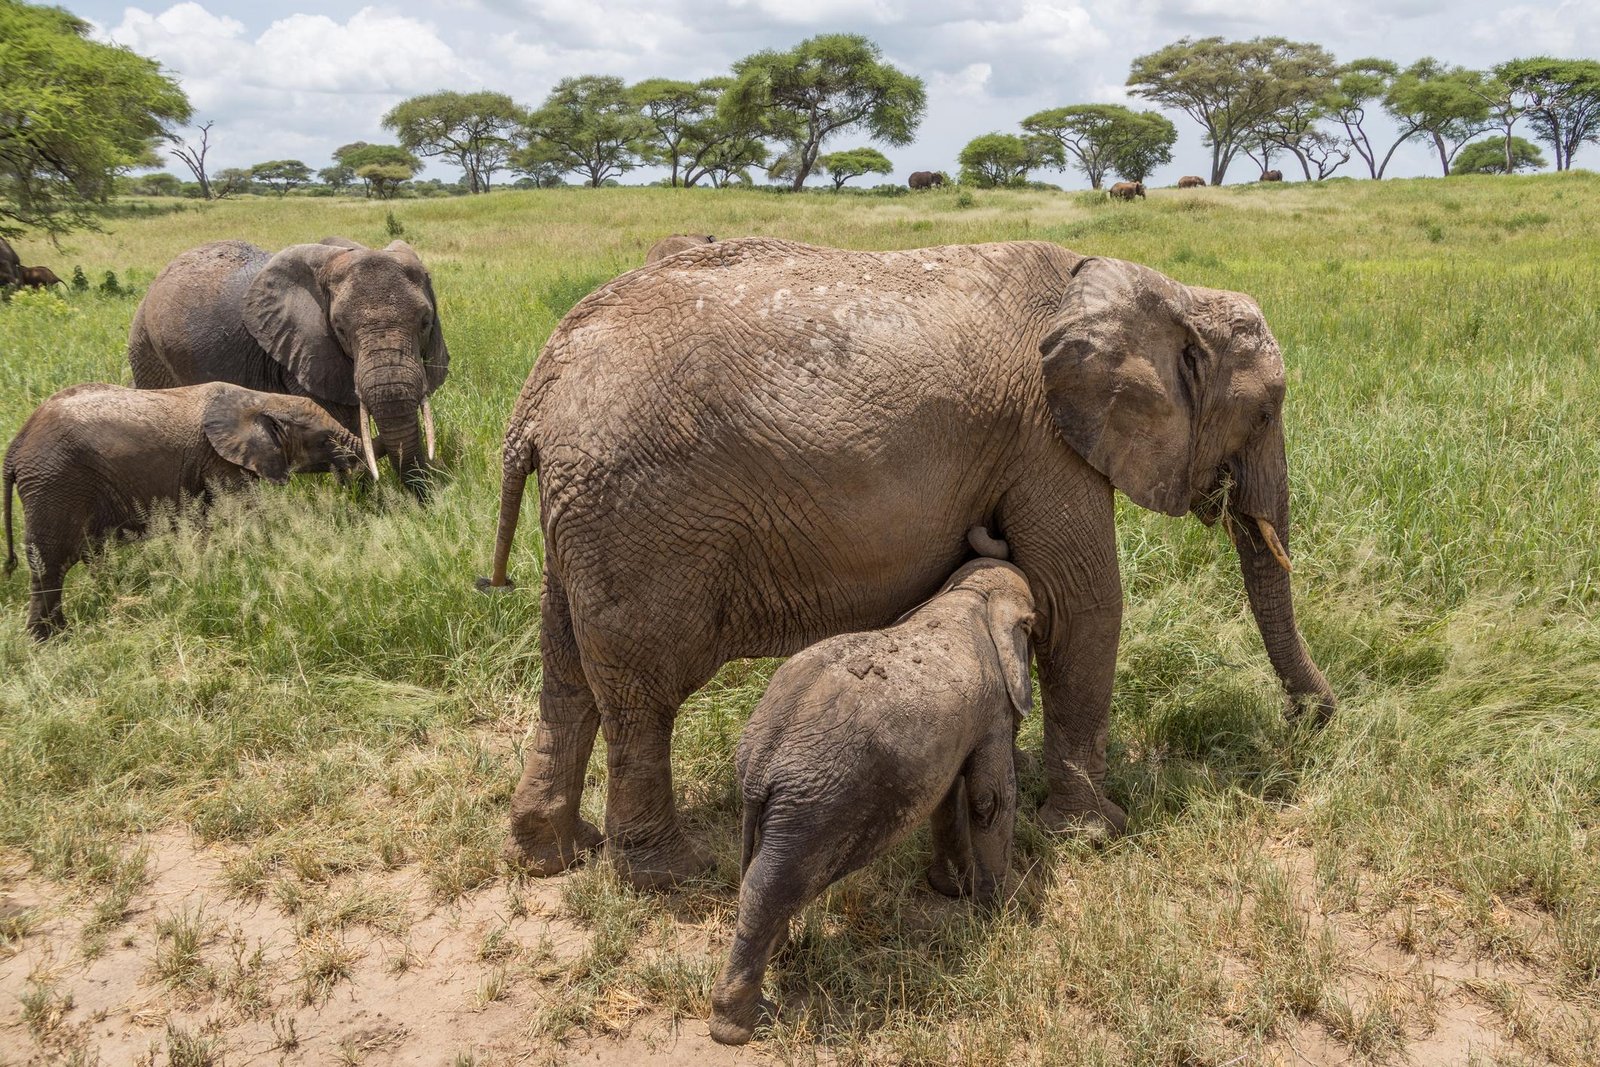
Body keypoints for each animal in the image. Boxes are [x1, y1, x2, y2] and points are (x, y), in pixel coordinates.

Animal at [4, 382, 361, 639]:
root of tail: (16, 444)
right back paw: (50, 639)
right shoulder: (219, 461)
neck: (259, 400)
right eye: (326, 440)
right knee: (51, 564)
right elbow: (246, 514)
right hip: (55, 484)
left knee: (91, 555)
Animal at [126, 238, 448, 497]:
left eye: (425, 322)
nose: (423, 502)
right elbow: (340, 420)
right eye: (340, 329)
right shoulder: (304, 350)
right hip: (145, 347)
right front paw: (364, 499)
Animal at [482, 237, 1334, 890]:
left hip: (587, 515)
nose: (1313, 719)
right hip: (640, 516)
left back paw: (553, 854)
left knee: (568, 670)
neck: (1152, 286)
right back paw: (671, 877)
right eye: (1266, 411)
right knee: (642, 692)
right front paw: (1094, 833)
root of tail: (536, 395)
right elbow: (1082, 605)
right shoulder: (1046, 439)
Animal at [709, 548, 1033, 1045]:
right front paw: (1005, 910)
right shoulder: (994, 700)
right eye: (1033, 630)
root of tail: (762, 756)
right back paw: (741, 1027)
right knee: (770, 886)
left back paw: (778, 957)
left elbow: (950, 796)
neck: (970, 595)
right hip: (811, 805)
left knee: (756, 881)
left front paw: (952, 891)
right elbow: (989, 798)